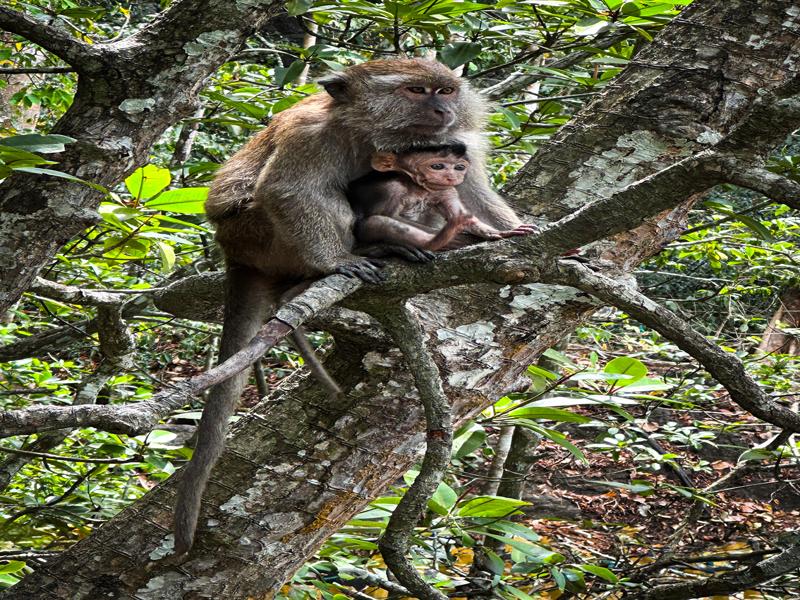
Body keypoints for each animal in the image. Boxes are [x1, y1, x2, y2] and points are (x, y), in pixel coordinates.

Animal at [349, 143, 536, 252]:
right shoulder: (392, 189)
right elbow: (386, 216)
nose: (452, 176)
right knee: (377, 222)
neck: (419, 188)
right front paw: (459, 236)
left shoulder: (445, 190)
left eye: (459, 167)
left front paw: (500, 232)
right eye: (437, 166)